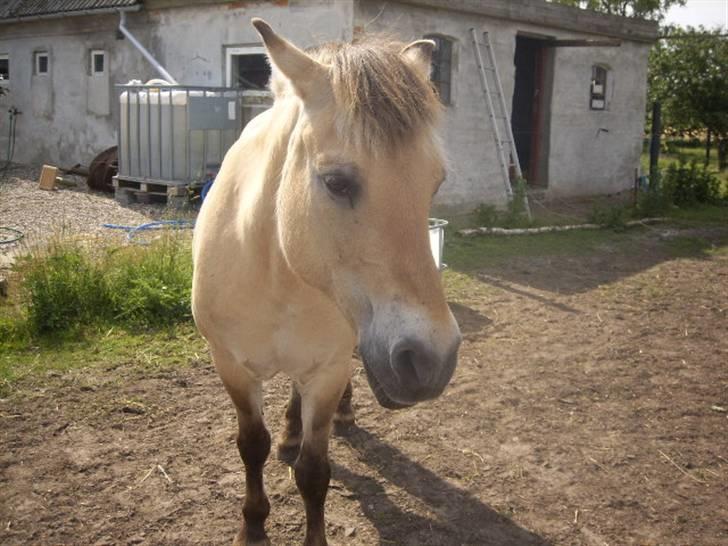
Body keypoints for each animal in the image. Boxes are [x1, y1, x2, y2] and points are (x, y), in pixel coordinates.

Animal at [192, 17, 460, 544]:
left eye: (434, 183)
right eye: (337, 182)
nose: (432, 360)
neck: (277, 277)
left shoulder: (329, 369)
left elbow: (314, 472)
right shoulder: (230, 366)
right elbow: (251, 445)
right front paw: (252, 526)